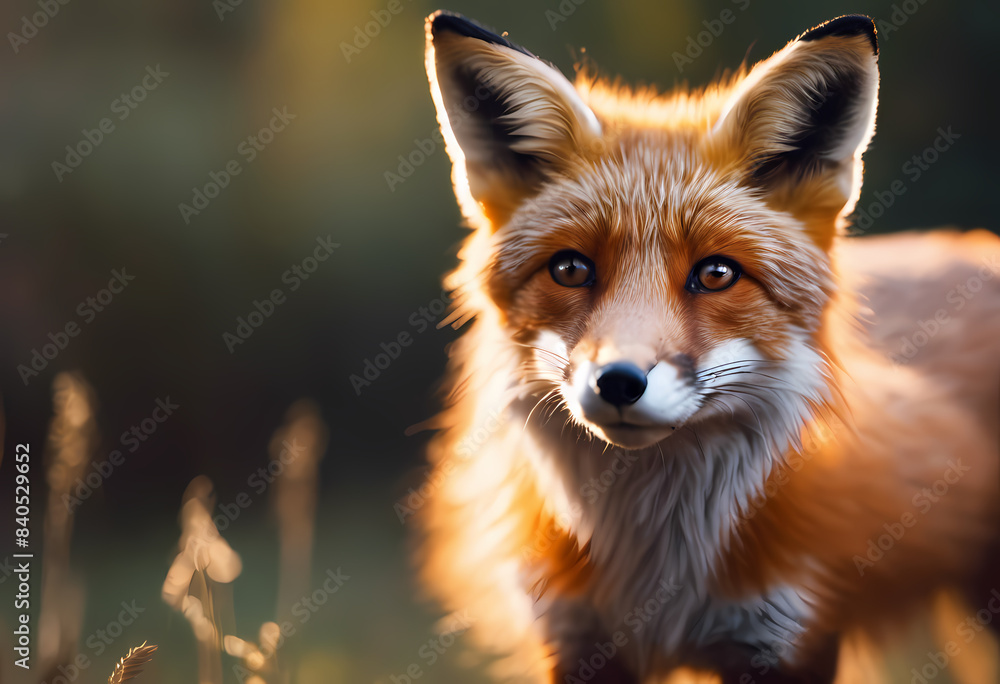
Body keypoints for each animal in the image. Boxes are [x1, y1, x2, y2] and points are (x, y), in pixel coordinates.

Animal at [416, 11, 1000, 684]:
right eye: (570, 269)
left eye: (716, 274)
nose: (618, 382)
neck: (657, 567)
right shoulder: (577, 640)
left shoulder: (787, 640)